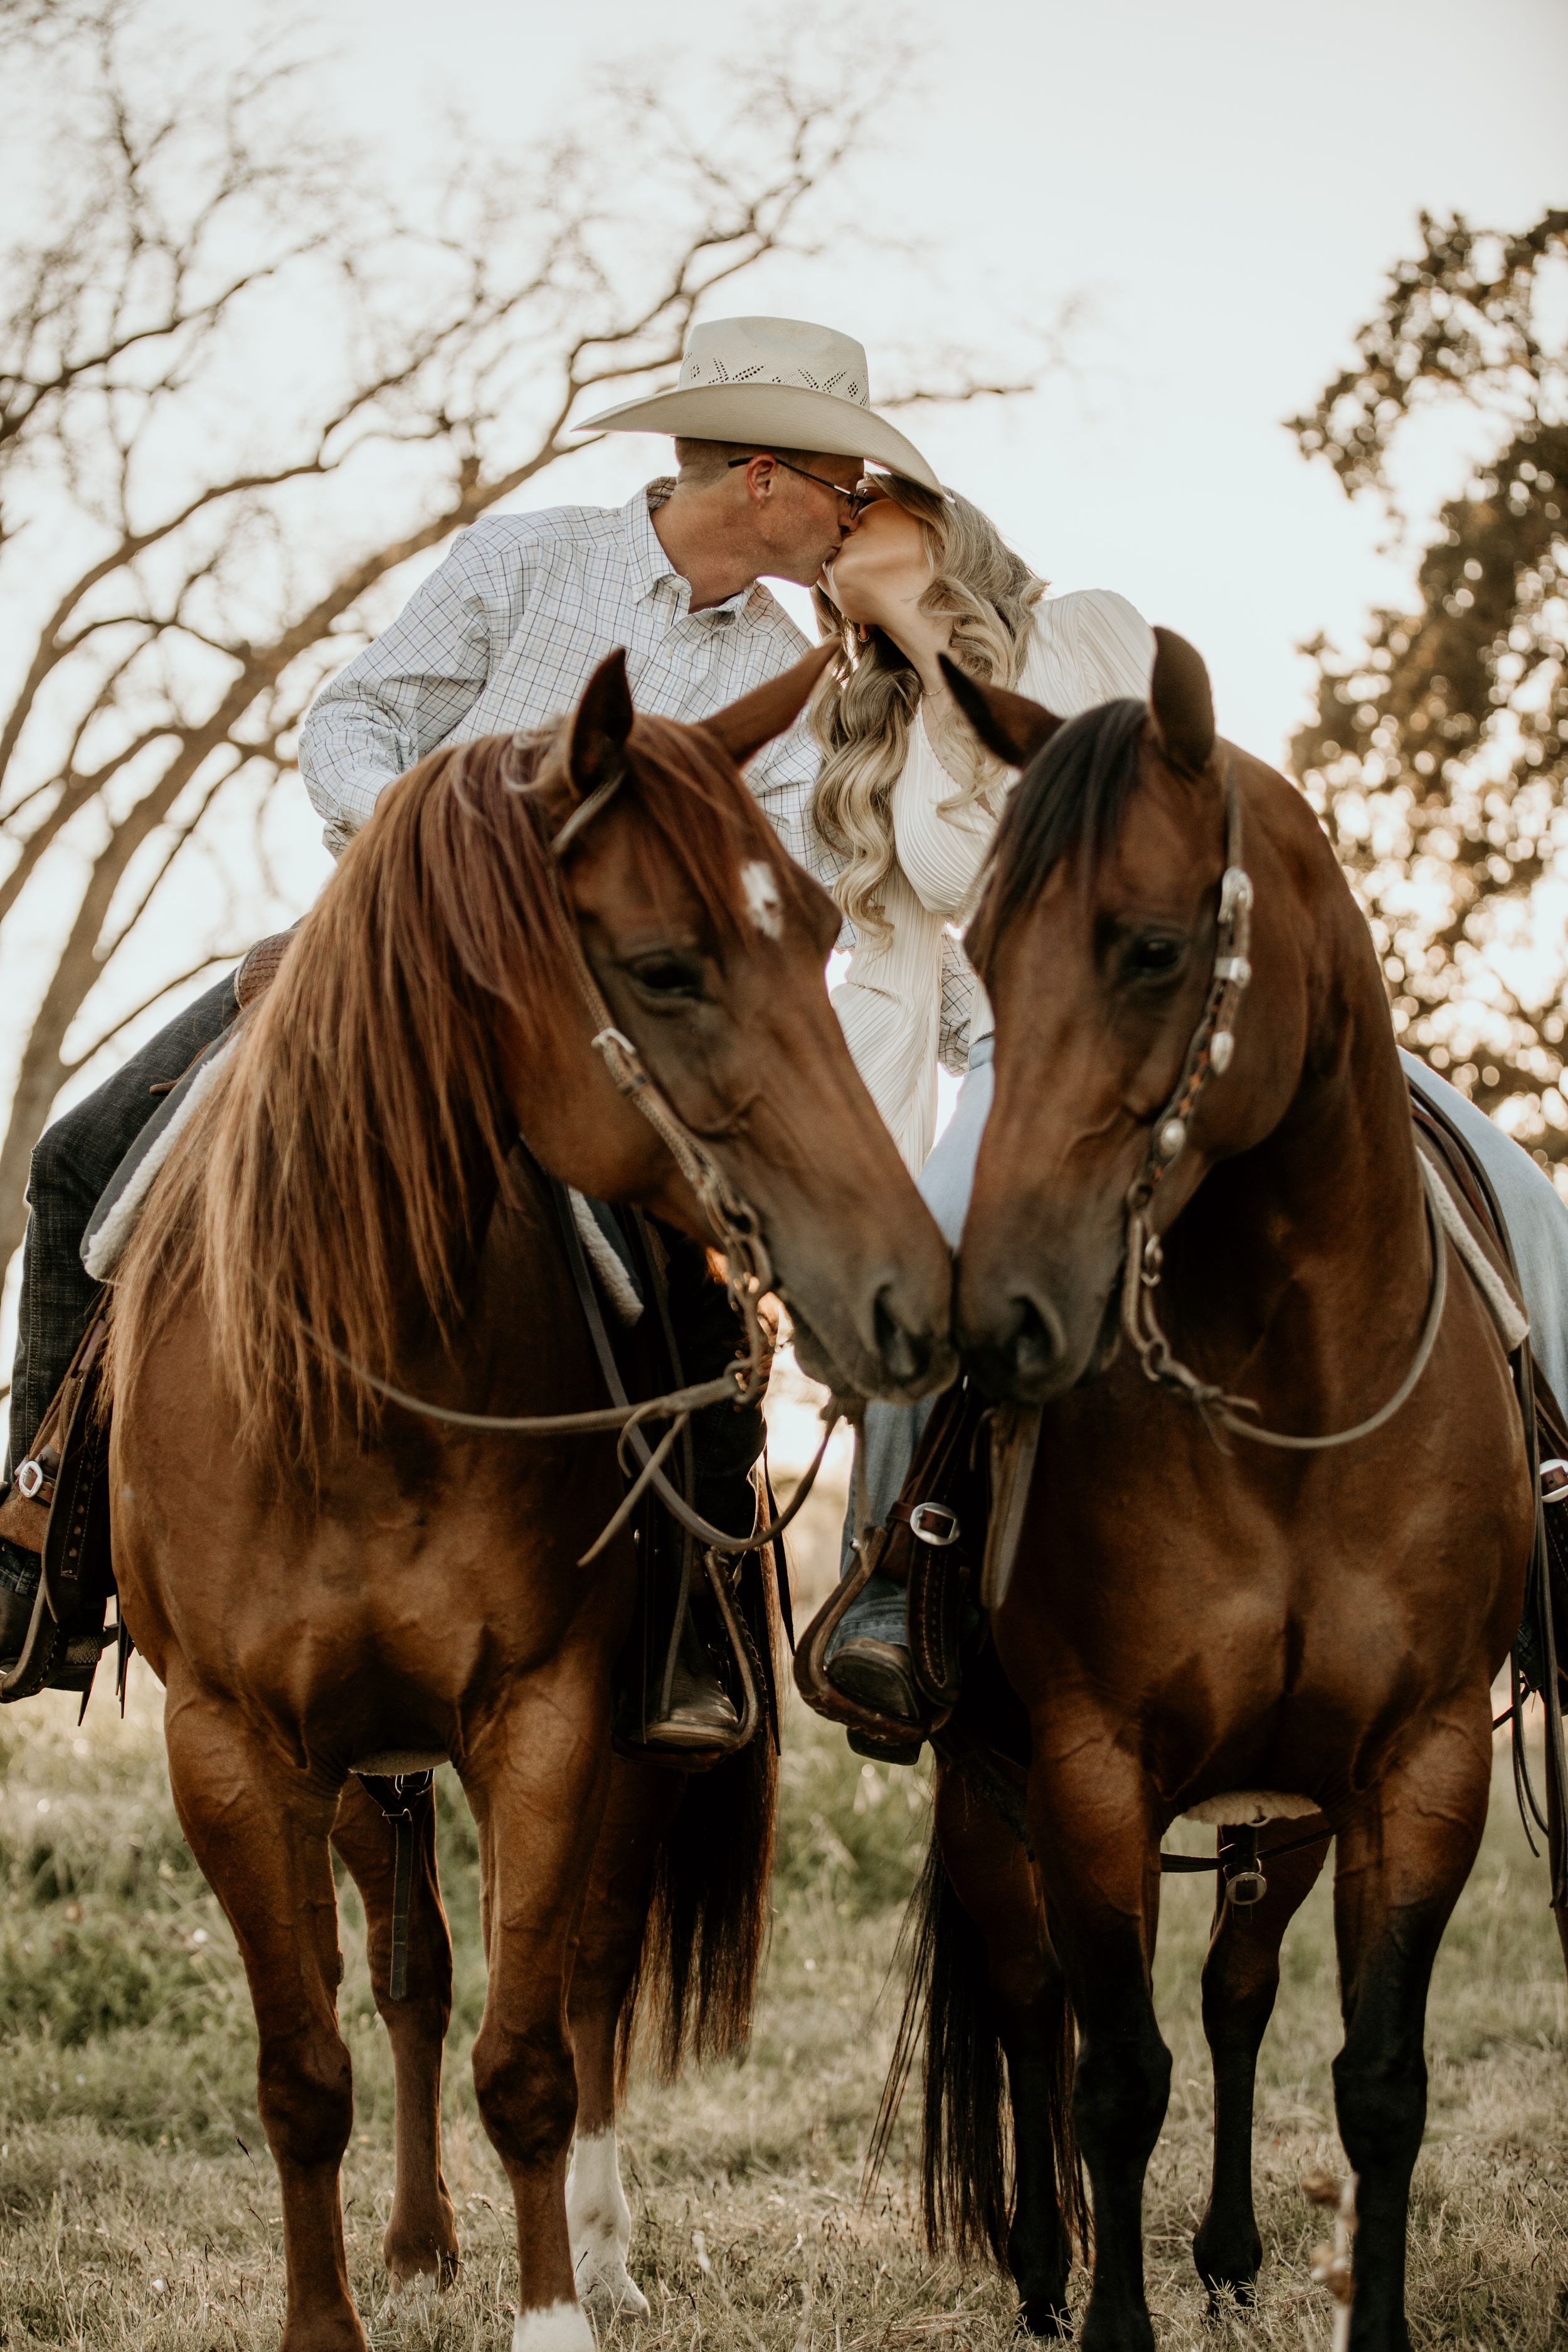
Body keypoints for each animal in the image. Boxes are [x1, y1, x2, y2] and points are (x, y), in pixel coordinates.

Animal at [104, 645, 956, 2352]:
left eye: (818, 927)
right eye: (665, 966)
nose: (901, 1283)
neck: (356, 1383)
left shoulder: (547, 1717)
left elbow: (534, 2058)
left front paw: (557, 2307)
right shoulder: (234, 1747)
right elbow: (307, 2071)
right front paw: (333, 2317)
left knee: (585, 1974)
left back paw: (602, 2248)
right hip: (360, 1763)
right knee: (416, 1974)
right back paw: (420, 2242)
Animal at [884, 633, 1532, 2352]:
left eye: (1152, 947)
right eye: (982, 956)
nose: (1000, 1315)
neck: (1287, 1410)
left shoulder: (1416, 1767)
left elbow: (1375, 2084)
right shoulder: (1090, 1773)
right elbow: (1113, 2078)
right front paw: (1107, 2311)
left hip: (1281, 1813)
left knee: (1236, 1996)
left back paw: (1232, 2247)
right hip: (988, 1795)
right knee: (1031, 2013)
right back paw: (1044, 2264)